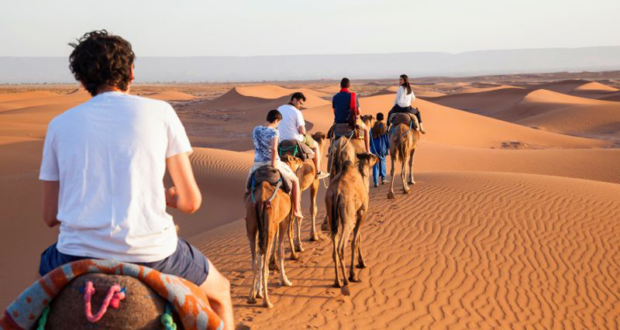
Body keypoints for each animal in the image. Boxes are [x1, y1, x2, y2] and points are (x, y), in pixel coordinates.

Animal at [243, 156, 304, 308]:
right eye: (295, 159)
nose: (301, 161)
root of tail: (261, 199)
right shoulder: (283, 221)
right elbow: (280, 250)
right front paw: (285, 280)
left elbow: (261, 254)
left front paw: (258, 291)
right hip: (270, 226)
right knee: (264, 262)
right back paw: (267, 301)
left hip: (251, 225)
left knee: (255, 260)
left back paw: (251, 297)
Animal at [324, 152, 378, 294]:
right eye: (372, 156)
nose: (378, 157)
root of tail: (336, 192)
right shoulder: (362, 212)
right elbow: (355, 241)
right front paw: (355, 272)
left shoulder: (354, 215)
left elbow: (358, 237)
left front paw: (361, 263)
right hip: (347, 219)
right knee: (341, 247)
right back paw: (347, 282)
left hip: (332, 215)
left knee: (334, 248)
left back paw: (337, 281)